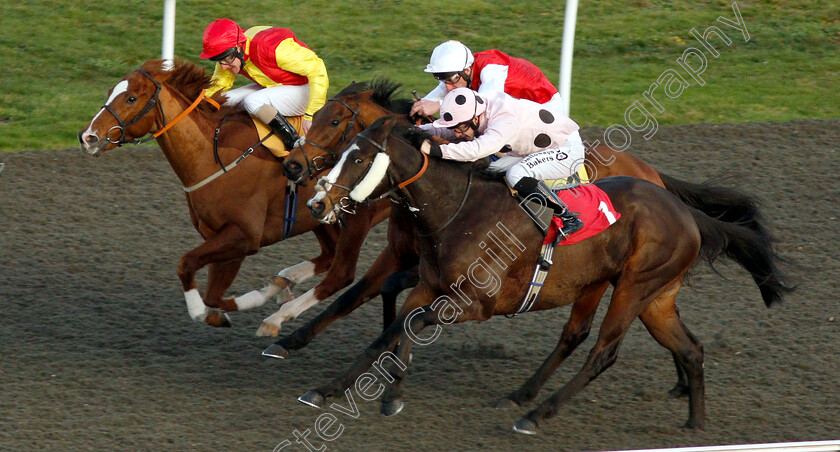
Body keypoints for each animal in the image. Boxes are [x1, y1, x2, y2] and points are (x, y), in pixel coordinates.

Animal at [76, 59, 390, 336]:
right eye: (110, 92)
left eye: (130, 98)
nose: (88, 137)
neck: (214, 155)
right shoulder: (220, 237)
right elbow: (213, 296)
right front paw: (245, 302)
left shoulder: (243, 236)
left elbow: (186, 265)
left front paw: (210, 309)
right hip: (319, 219)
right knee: (329, 256)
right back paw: (284, 282)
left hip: (356, 219)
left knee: (342, 272)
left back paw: (278, 312)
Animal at [264, 78, 776, 360]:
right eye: (317, 116)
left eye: (334, 123)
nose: (294, 167)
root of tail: (652, 176)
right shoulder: (402, 253)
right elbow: (358, 294)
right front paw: (290, 335)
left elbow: (361, 291)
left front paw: (283, 327)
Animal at [298, 115, 792, 434]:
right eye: (342, 153)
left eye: (359, 160)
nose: (317, 203)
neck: (457, 211)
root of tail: (686, 213)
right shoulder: (429, 285)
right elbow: (393, 327)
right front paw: (330, 388)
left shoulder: (477, 304)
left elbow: (410, 324)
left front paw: (392, 393)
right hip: (650, 297)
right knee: (687, 348)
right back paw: (694, 422)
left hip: (633, 288)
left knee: (602, 352)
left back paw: (535, 415)